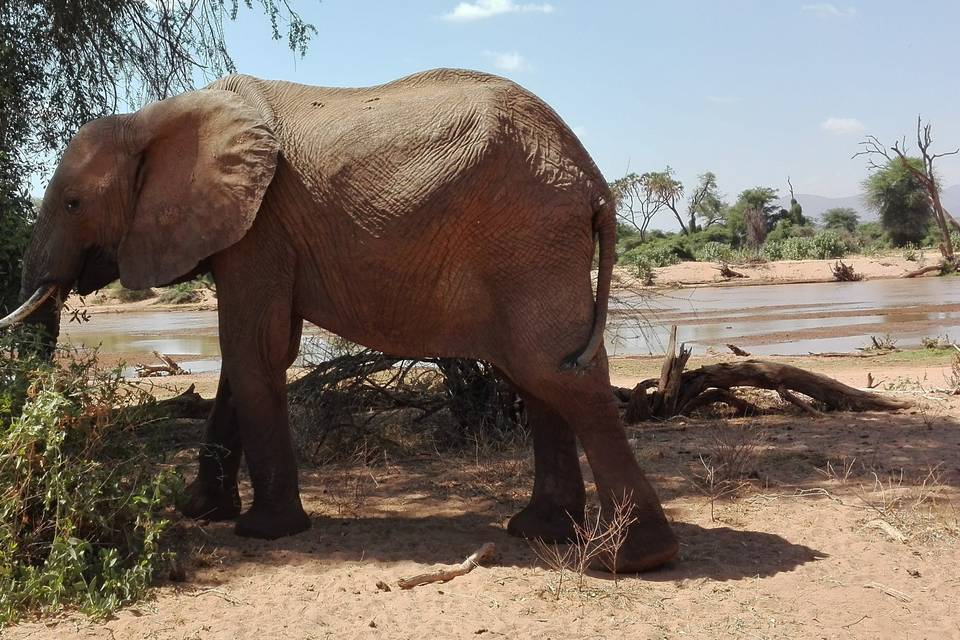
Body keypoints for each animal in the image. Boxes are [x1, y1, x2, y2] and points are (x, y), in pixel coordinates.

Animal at [1, 69, 676, 568]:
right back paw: (539, 532)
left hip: (529, 235)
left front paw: (263, 532)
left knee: (556, 370)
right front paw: (198, 511)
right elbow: (247, 356)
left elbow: (253, 348)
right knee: (534, 374)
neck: (153, 117)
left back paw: (631, 559)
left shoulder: (262, 225)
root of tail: (594, 182)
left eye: (73, 203)